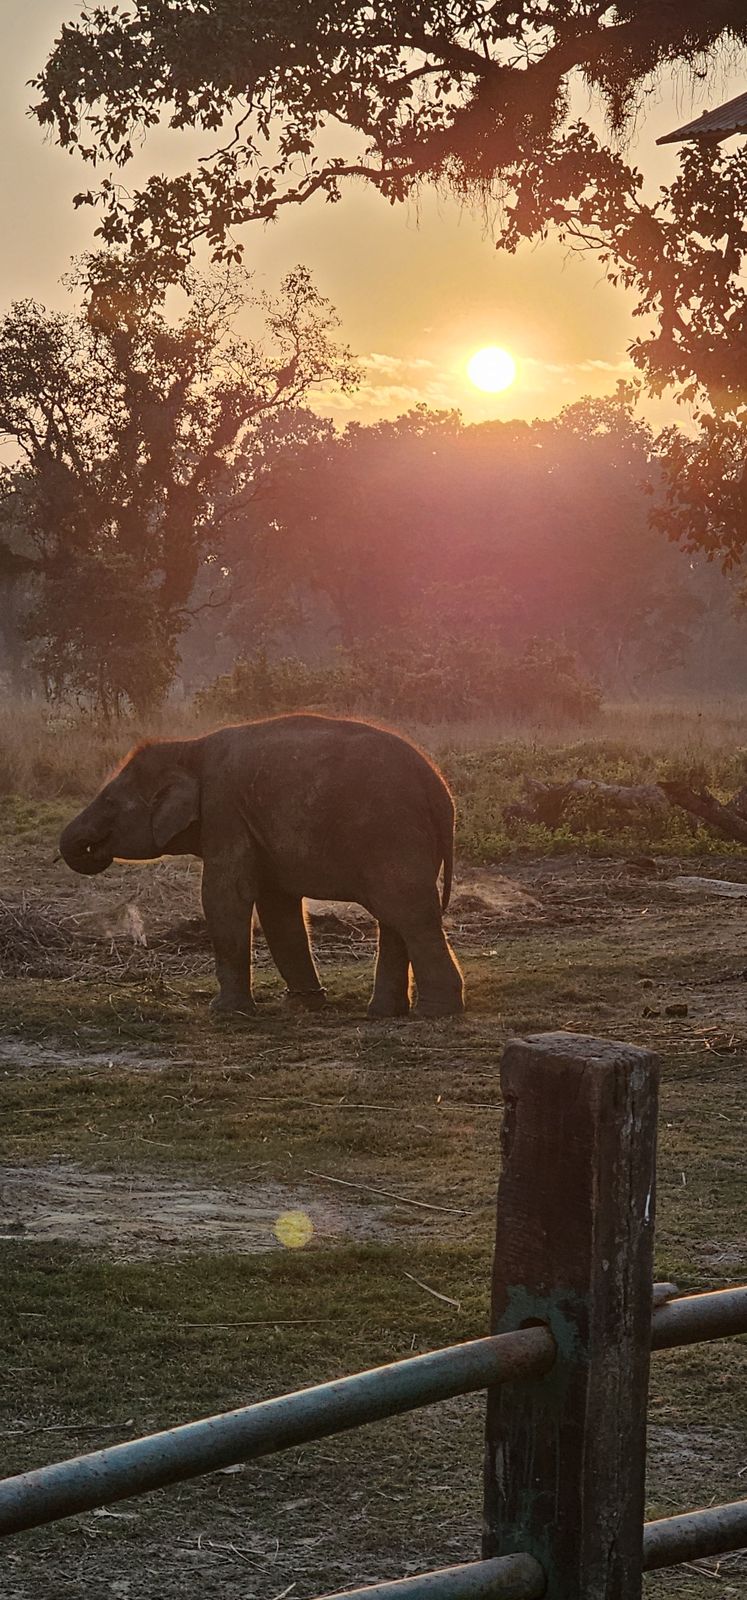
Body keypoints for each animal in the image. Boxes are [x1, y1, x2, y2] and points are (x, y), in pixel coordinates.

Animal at [59, 714, 465, 1019]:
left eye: (109, 802)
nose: (89, 849)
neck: (189, 746)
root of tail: (440, 790)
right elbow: (277, 905)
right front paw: (303, 1004)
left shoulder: (224, 810)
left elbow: (224, 895)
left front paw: (223, 1011)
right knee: (394, 917)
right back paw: (383, 1013)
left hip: (393, 834)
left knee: (410, 914)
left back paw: (435, 1012)